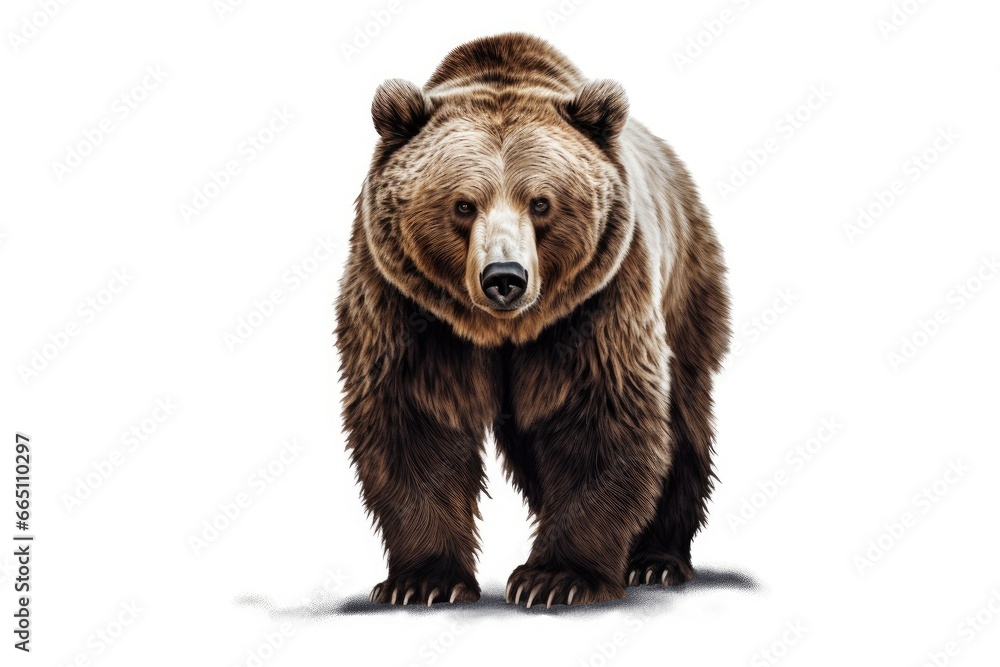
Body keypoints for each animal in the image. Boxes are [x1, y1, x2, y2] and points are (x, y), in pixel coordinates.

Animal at [335, 33, 730, 608]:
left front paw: (556, 578)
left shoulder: (598, 299)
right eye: (463, 204)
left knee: (682, 417)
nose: (505, 276)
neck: (503, 329)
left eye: (541, 202)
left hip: (685, 284)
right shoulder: (406, 303)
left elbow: (599, 413)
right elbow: (416, 417)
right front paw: (423, 581)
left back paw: (656, 559)